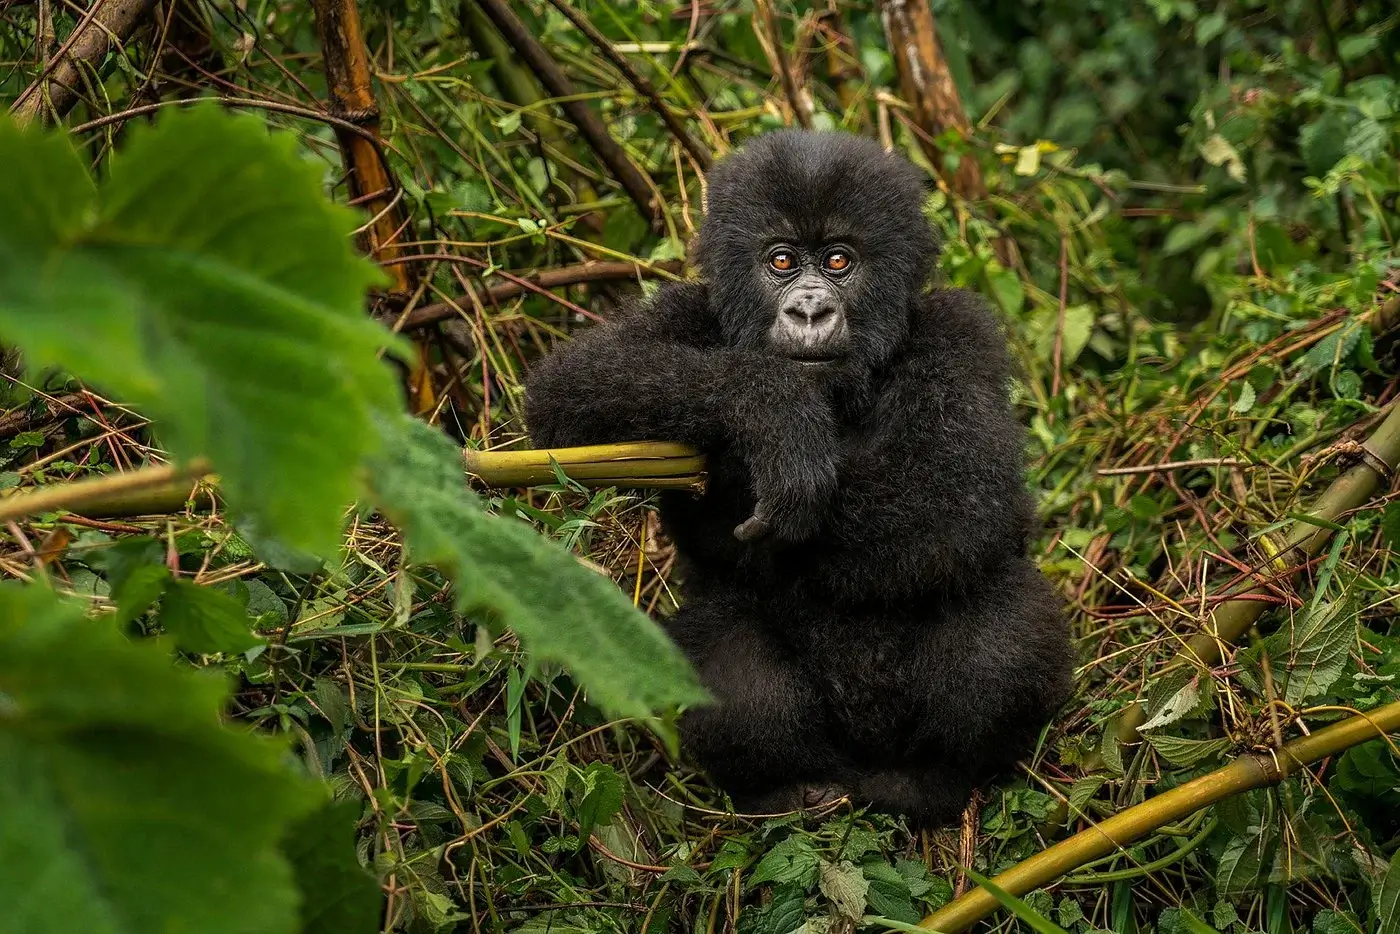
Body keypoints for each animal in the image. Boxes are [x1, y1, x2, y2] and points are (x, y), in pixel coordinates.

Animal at [524, 129, 1071, 822]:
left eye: (838, 261)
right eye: (782, 261)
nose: (810, 310)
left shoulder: (960, 333)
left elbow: (956, 495)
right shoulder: (686, 310)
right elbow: (569, 392)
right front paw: (772, 414)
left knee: (1001, 612)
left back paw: (934, 778)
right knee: (725, 652)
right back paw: (786, 787)